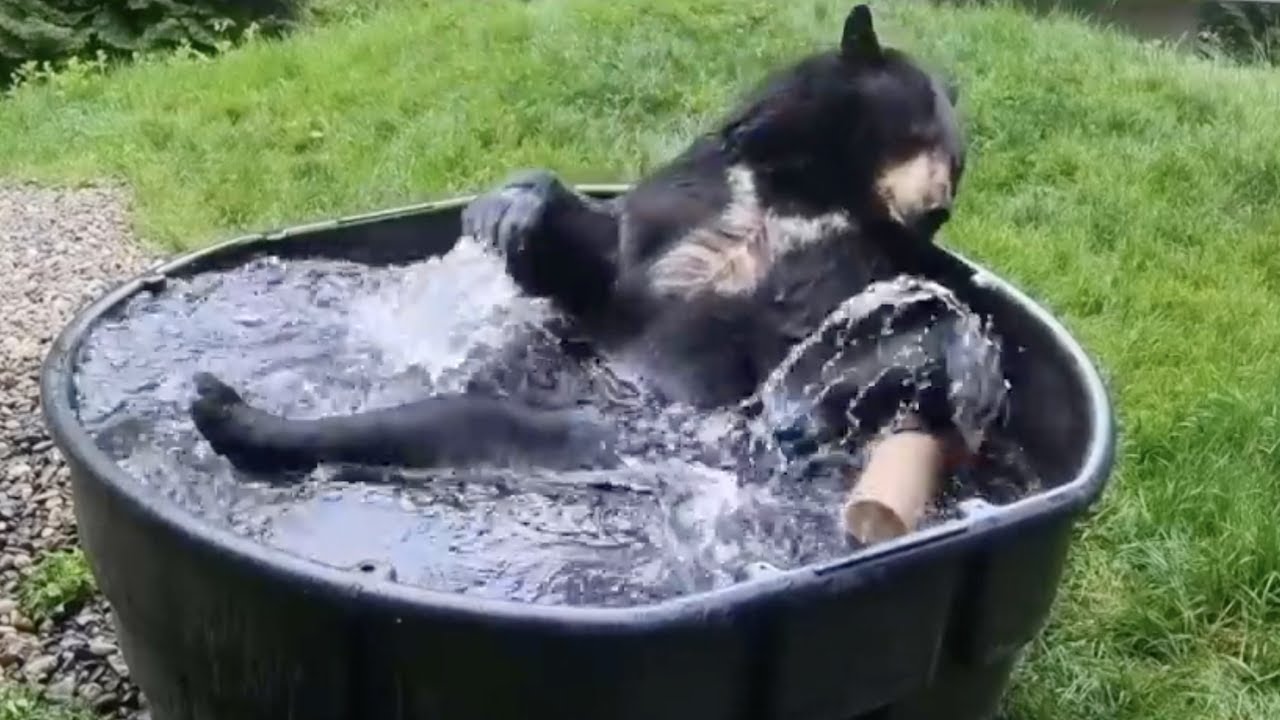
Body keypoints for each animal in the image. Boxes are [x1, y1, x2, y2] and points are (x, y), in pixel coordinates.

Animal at [189, 4, 973, 480]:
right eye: (917, 128)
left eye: (958, 159)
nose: (934, 207)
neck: (813, 191)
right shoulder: (699, 192)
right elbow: (612, 262)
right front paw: (511, 209)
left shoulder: (846, 261)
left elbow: (804, 339)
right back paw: (222, 402)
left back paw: (226, 410)